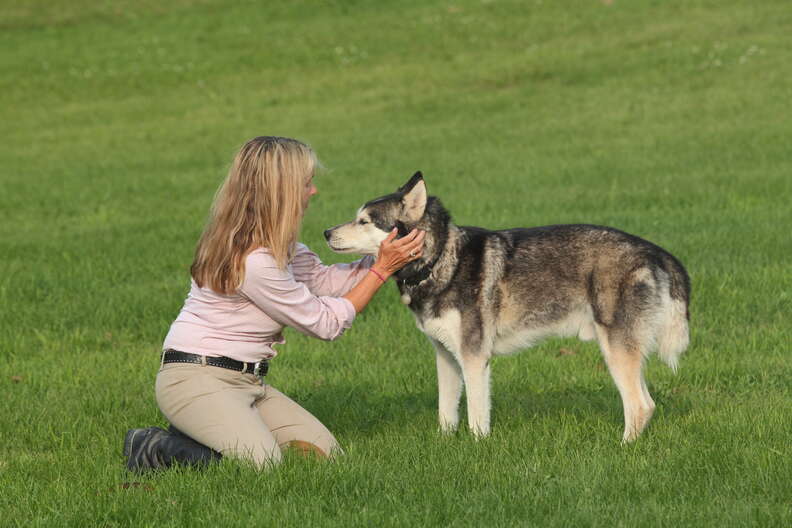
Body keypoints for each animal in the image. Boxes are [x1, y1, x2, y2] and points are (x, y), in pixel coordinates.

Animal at [324, 173, 688, 442]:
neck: (440, 260)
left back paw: (623, 447)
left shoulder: (474, 358)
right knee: (647, 404)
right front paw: (444, 443)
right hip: (624, 351)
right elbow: (446, 411)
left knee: (640, 405)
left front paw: (476, 446)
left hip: (616, 350)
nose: (326, 231)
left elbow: (476, 414)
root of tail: (653, 250)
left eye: (364, 221)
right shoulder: (445, 355)